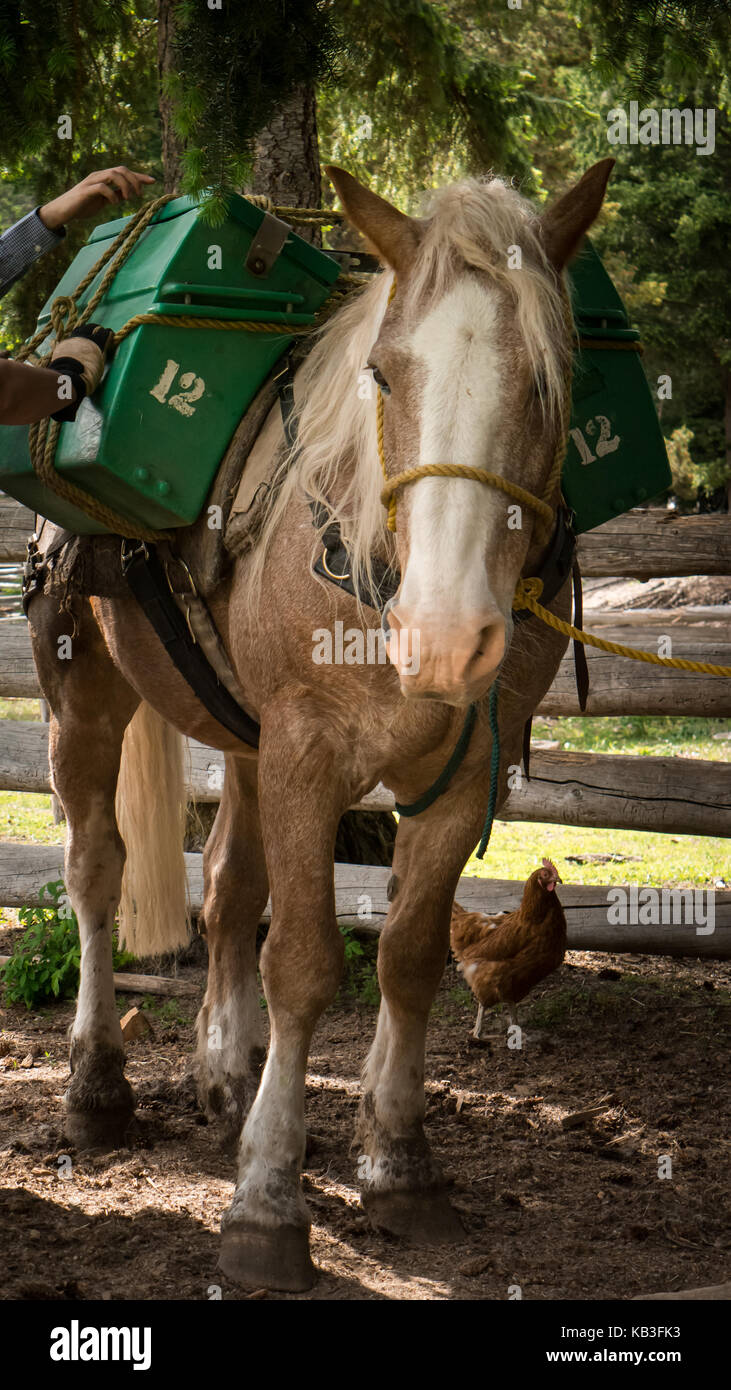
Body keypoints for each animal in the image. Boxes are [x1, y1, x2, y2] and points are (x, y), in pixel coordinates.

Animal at [25, 154, 617, 1289]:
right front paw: (266, 1203)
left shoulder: (464, 774)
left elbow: (410, 957)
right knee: (97, 873)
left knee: (224, 894)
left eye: (546, 382)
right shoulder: (306, 753)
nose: (444, 634)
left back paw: (226, 1075)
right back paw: (96, 1088)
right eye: (382, 374)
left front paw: (397, 1165)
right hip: (84, 691)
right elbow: (300, 965)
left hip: (246, 744)